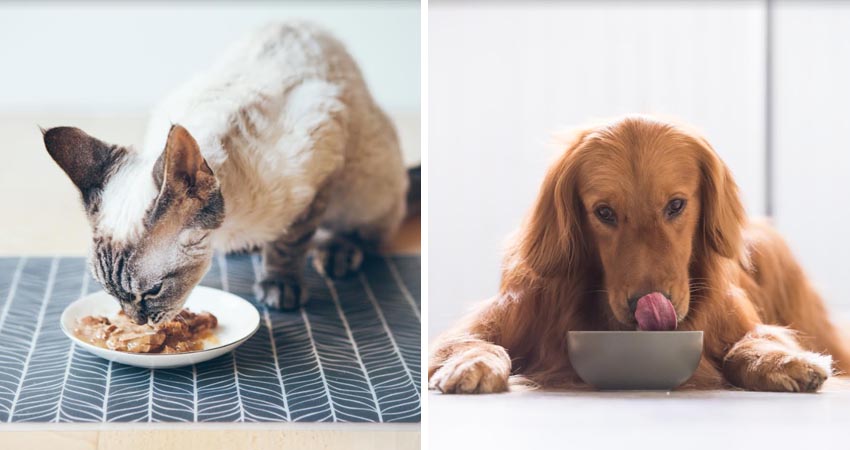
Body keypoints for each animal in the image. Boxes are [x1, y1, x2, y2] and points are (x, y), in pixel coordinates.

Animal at [43, 22, 414, 324]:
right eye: (110, 293)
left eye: (153, 291)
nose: (137, 322)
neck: (227, 227)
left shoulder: (320, 166)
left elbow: (289, 243)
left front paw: (279, 284)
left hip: (362, 188)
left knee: (363, 232)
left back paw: (337, 253)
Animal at [430, 116, 848, 394]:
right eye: (604, 212)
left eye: (676, 205)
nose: (648, 305)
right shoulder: (504, 314)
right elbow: (469, 340)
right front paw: (472, 363)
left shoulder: (737, 320)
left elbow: (752, 341)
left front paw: (782, 360)